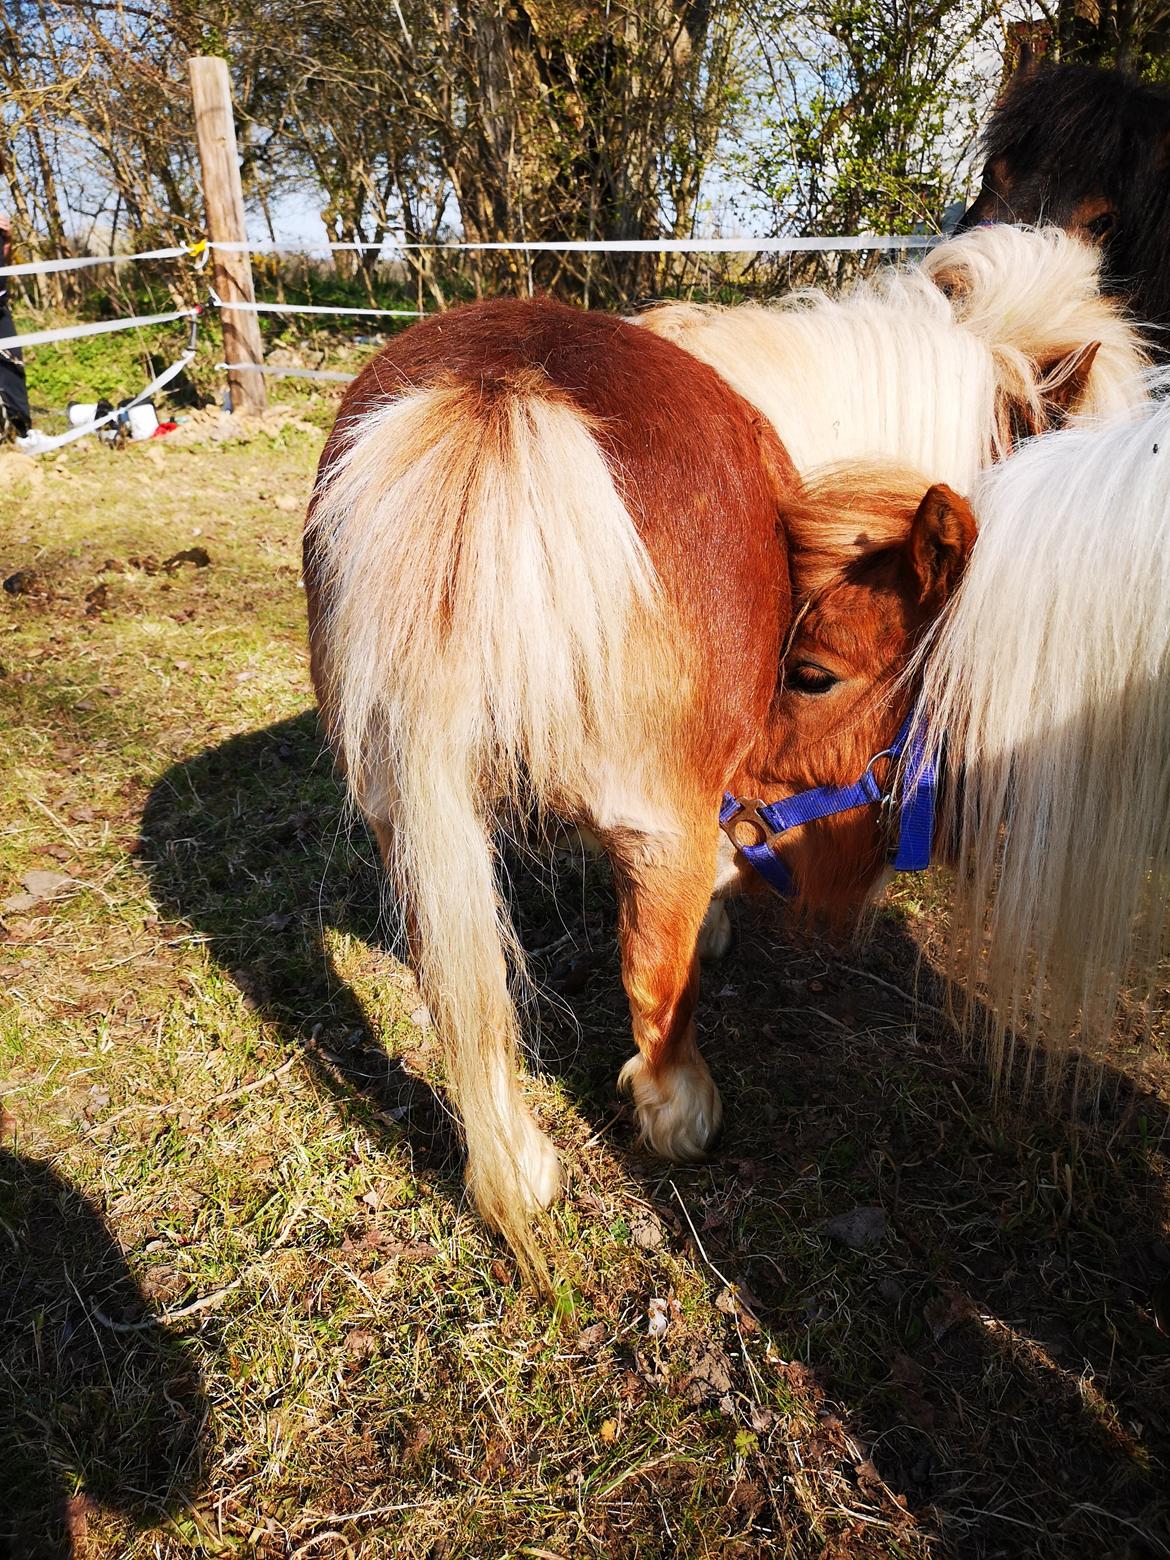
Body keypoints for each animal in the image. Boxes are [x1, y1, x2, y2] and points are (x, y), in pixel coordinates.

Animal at [307, 297, 973, 1272]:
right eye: (809, 674)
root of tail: (500, 386)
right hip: (660, 826)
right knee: (654, 979)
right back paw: (679, 1112)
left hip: (408, 813)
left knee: (456, 982)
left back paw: (517, 1166)